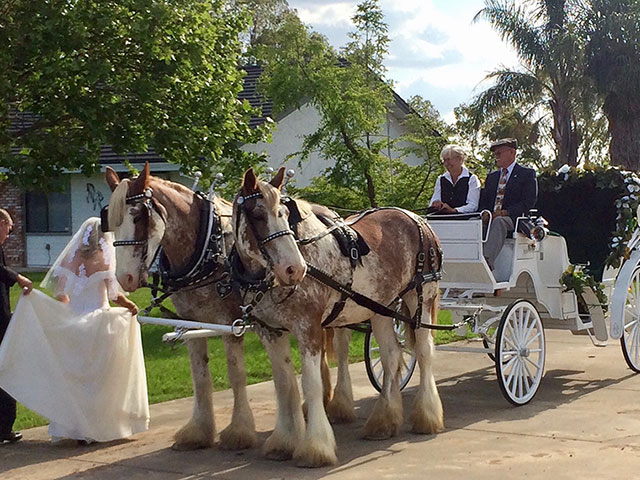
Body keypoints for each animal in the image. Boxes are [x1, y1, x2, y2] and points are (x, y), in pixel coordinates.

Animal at [230, 167, 444, 466]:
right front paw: (283, 442)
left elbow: (310, 384)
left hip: (421, 297)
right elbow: (284, 385)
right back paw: (383, 421)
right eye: (258, 216)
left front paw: (315, 448)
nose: (294, 269)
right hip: (381, 307)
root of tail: (416, 218)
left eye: (283, 213)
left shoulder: (308, 328)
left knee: (424, 353)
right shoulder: (270, 331)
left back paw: (427, 417)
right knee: (391, 356)